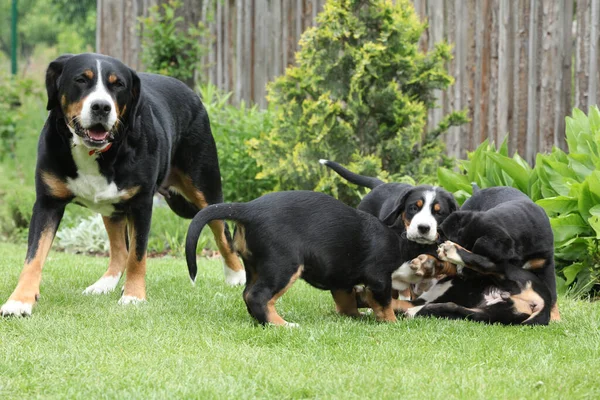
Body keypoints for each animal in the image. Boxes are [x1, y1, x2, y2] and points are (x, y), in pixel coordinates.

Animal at [0, 54, 244, 316]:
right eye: (81, 80)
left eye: (118, 85)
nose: (101, 107)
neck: (96, 153)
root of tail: (191, 93)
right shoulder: (47, 203)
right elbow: (33, 257)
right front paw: (19, 301)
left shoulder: (141, 204)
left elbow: (138, 255)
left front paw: (134, 296)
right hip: (112, 207)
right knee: (120, 250)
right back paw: (104, 284)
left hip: (204, 187)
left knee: (222, 231)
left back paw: (236, 275)